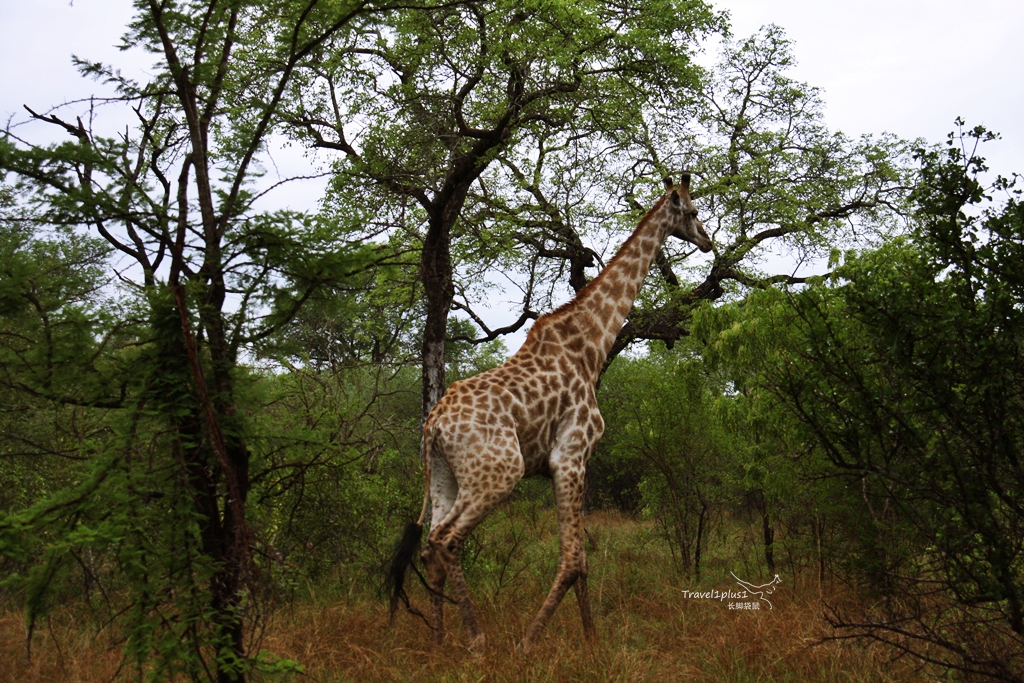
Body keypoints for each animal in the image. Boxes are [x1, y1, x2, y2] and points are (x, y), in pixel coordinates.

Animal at [385, 172, 712, 651]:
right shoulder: (570, 456)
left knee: (430, 546)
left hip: (445, 475)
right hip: (499, 471)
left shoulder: (567, 461)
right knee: (447, 541)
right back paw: (477, 641)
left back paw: (440, 642)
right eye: (692, 211)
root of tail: (433, 427)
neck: (592, 345)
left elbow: (581, 560)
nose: (707, 240)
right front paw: (530, 642)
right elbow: (573, 559)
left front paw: (592, 641)